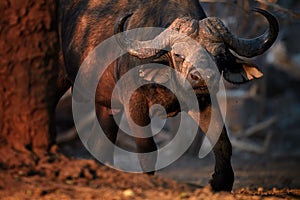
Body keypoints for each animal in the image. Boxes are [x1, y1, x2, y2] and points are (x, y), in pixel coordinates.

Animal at [58, 0, 278, 191]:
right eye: (179, 55)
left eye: (220, 55)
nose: (201, 78)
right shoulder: (135, 103)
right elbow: (147, 148)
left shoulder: (205, 101)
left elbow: (223, 142)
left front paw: (220, 183)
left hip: (106, 106)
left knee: (101, 142)